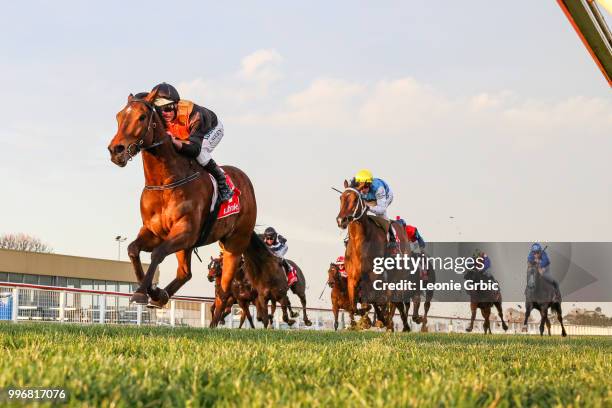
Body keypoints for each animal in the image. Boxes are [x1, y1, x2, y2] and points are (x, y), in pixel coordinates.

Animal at [107, 91, 256, 326]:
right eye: (119, 116)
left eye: (142, 117)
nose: (116, 150)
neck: (165, 181)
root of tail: (246, 182)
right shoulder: (154, 232)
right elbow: (132, 249)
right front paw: (152, 292)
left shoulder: (186, 231)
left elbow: (158, 253)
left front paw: (142, 292)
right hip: (191, 246)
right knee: (185, 273)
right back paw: (164, 296)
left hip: (234, 244)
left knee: (223, 291)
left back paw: (213, 325)